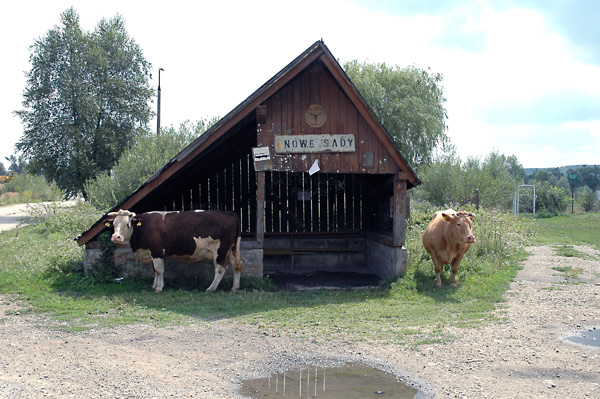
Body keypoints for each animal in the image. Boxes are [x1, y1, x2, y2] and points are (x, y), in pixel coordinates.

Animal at [104, 211, 243, 292]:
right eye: (114, 225)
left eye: (127, 225)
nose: (116, 237)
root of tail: (229, 213)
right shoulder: (155, 253)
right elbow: (155, 270)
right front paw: (154, 285)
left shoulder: (157, 251)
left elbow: (159, 270)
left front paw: (159, 287)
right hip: (231, 250)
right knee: (235, 267)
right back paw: (235, 287)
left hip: (220, 250)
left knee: (221, 268)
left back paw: (211, 288)